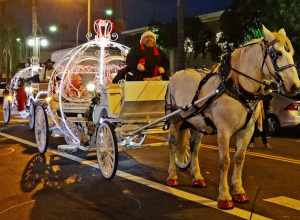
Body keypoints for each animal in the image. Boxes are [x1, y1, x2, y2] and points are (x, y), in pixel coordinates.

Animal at [166, 24, 300, 209]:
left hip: (197, 124)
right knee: (172, 145)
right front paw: (224, 196)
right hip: (175, 119)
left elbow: (238, 159)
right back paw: (172, 176)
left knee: (194, 148)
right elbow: (225, 161)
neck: (236, 87)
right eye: (277, 53)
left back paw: (197, 177)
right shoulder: (224, 130)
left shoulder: (247, 130)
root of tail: (176, 74)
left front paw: (238, 191)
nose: (295, 86)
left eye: (292, 52)